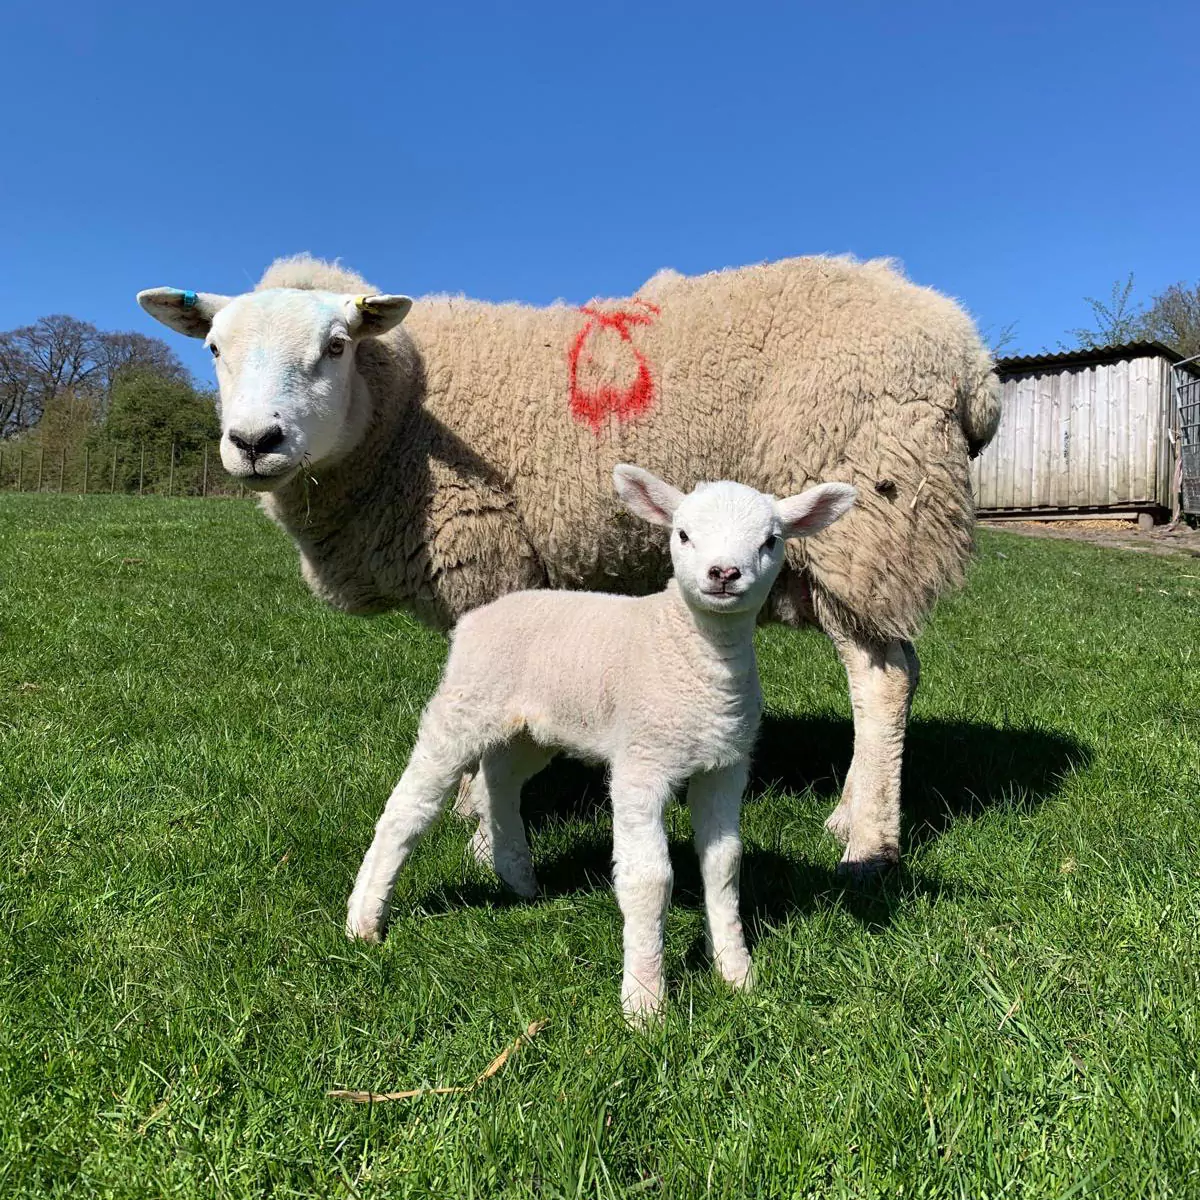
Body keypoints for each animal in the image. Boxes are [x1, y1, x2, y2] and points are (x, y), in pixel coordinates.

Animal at [137, 253, 1000, 874]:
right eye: (213, 349)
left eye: (336, 347)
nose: (254, 442)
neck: (401, 407)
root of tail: (971, 358)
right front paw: (469, 803)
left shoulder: (486, 563)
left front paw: (482, 827)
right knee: (895, 668)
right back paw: (851, 810)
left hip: (868, 520)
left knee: (881, 678)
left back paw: (870, 843)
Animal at [345, 465, 857, 1021]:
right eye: (683, 534)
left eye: (770, 540)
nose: (724, 573)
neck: (693, 653)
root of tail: (481, 614)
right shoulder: (641, 762)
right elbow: (649, 878)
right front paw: (645, 1002)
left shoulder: (725, 764)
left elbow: (724, 865)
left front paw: (737, 973)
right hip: (465, 701)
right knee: (408, 807)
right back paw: (363, 920)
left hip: (534, 725)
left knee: (499, 783)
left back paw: (519, 878)